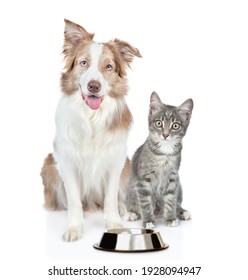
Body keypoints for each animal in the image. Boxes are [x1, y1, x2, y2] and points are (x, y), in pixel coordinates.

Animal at [40, 19, 141, 241]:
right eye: (83, 63)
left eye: (109, 67)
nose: (94, 86)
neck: (91, 117)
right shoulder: (67, 162)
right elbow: (74, 200)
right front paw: (73, 227)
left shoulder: (116, 161)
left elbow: (111, 197)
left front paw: (115, 224)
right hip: (49, 165)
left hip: (127, 166)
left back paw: (125, 211)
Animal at [126, 92, 194, 230]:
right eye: (159, 123)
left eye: (175, 125)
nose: (165, 134)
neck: (164, 153)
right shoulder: (142, 180)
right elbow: (145, 202)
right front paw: (148, 221)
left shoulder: (173, 178)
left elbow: (170, 199)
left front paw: (170, 218)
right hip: (130, 188)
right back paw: (132, 213)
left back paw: (182, 212)